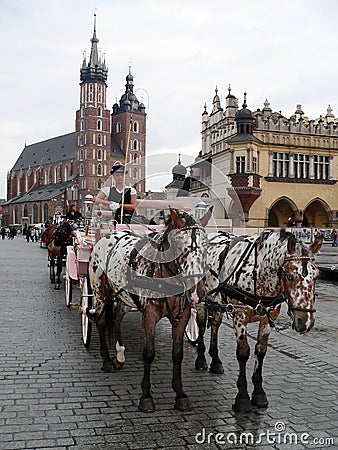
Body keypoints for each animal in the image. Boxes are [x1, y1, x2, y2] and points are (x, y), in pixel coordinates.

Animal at [88, 207, 213, 412]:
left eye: (207, 244)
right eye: (179, 245)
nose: (196, 291)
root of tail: (106, 236)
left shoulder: (183, 315)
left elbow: (177, 354)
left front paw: (180, 394)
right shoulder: (149, 314)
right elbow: (148, 353)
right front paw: (146, 397)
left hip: (124, 297)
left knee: (116, 318)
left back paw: (119, 355)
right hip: (99, 292)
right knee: (100, 320)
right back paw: (106, 360)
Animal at [194, 230, 320, 414]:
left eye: (316, 276)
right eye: (290, 276)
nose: (305, 321)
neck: (258, 273)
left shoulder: (268, 318)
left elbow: (260, 351)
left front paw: (259, 394)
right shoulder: (240, 316)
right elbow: (243, 352)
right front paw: (242, 397)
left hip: (217, 303)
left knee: (215, 324)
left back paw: (216, 361)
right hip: (200, 301)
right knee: (202, 325)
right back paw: (201, 359)